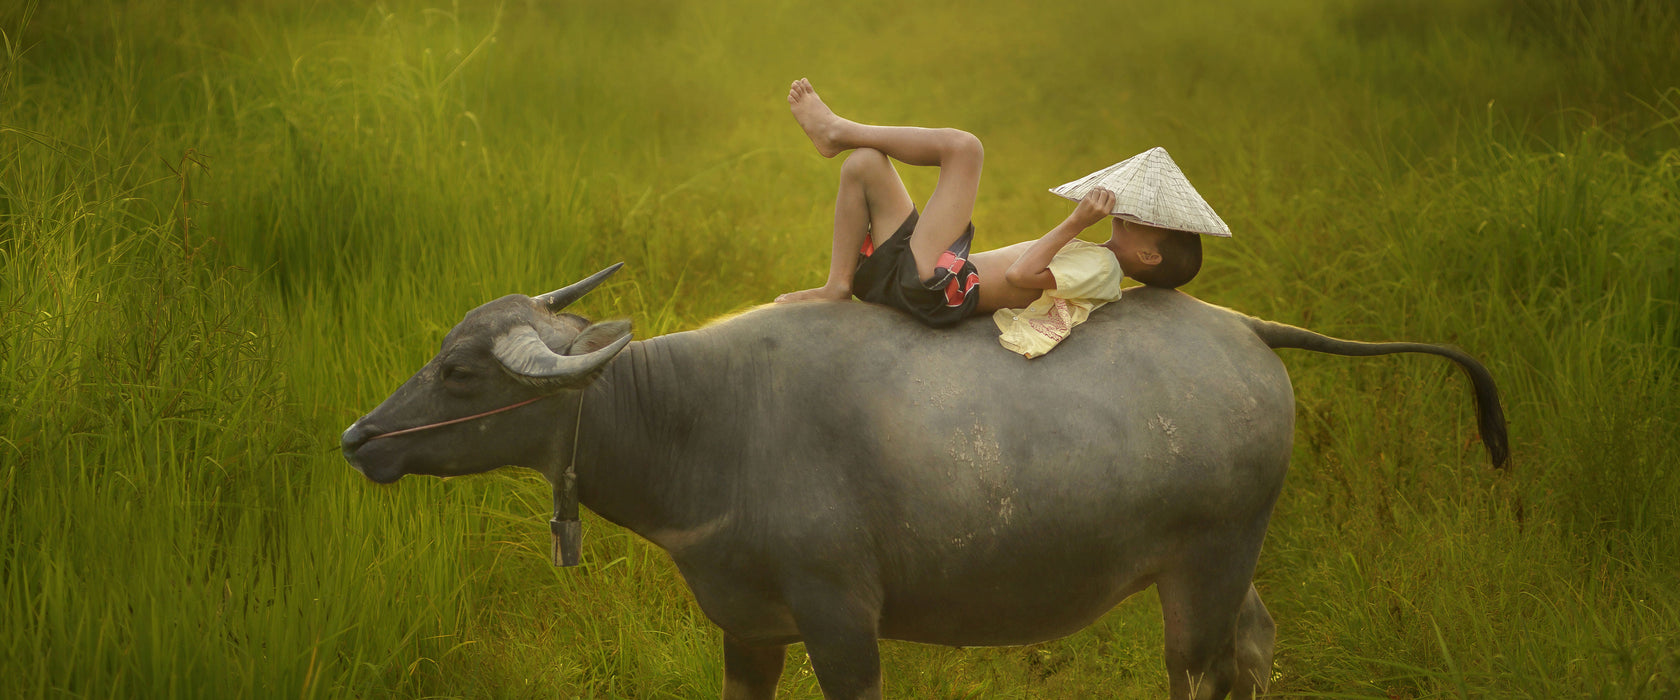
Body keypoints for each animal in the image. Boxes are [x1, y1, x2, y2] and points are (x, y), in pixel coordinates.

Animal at [334, 263, 1505, 698]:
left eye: (460, 370)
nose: (360, 437)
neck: (705, 424)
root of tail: (1248, 329)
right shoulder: (748, 627)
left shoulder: (843, 621)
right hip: (1228, 558)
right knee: (1255, 645)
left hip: (1208, 568)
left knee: (1202, 670)